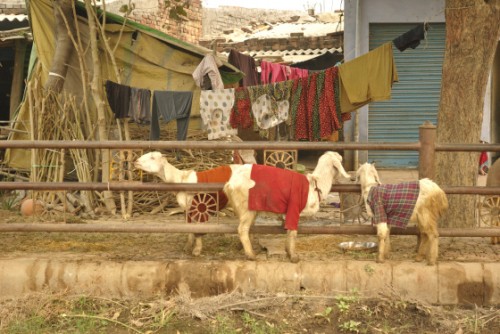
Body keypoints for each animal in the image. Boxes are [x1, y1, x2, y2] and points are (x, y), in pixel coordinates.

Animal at [224, 151, 352, 264]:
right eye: (340, 160)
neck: (315, 185)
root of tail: (230, 184)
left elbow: (288, 231)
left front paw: (287, 251)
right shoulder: (294, 208)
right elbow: (293, 232)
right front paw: (293, 256)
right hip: (246, 208)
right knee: (242, 229)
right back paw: (251, 255)